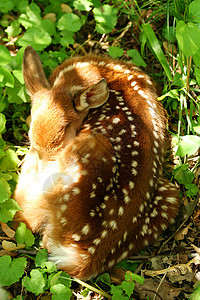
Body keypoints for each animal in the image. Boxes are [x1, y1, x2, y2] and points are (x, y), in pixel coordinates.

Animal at [14, 45, 180, 280]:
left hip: (91, 149)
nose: (45, 168)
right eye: (31, 134)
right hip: (170, 197)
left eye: (65, 130)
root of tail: (85, 257)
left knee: (24, 216)